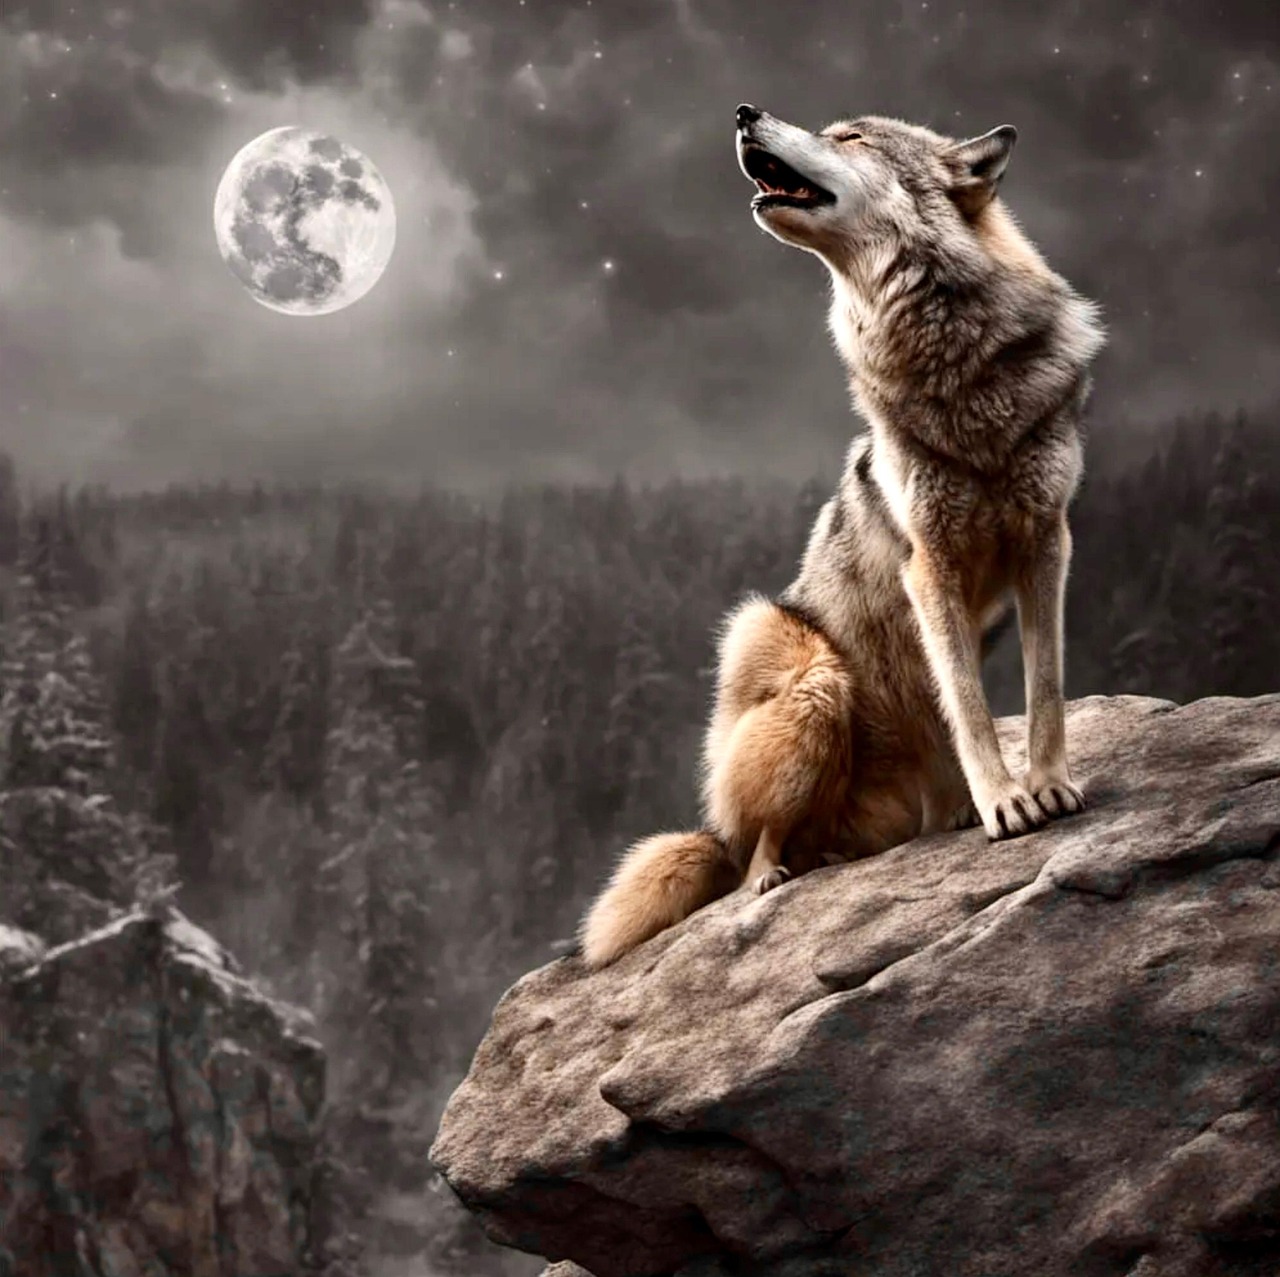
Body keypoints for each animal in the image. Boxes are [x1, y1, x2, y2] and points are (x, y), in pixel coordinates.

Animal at [580, 104, 1105, 968]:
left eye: (851, 136)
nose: (743, 112)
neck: (955, 367)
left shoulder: (1047, 543)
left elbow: (1047, 688)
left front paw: (1048, 785)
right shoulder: (929, 567)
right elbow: (967, 703)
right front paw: (1003, 802)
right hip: (800, 664)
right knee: (749, 849)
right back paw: (776, 871)